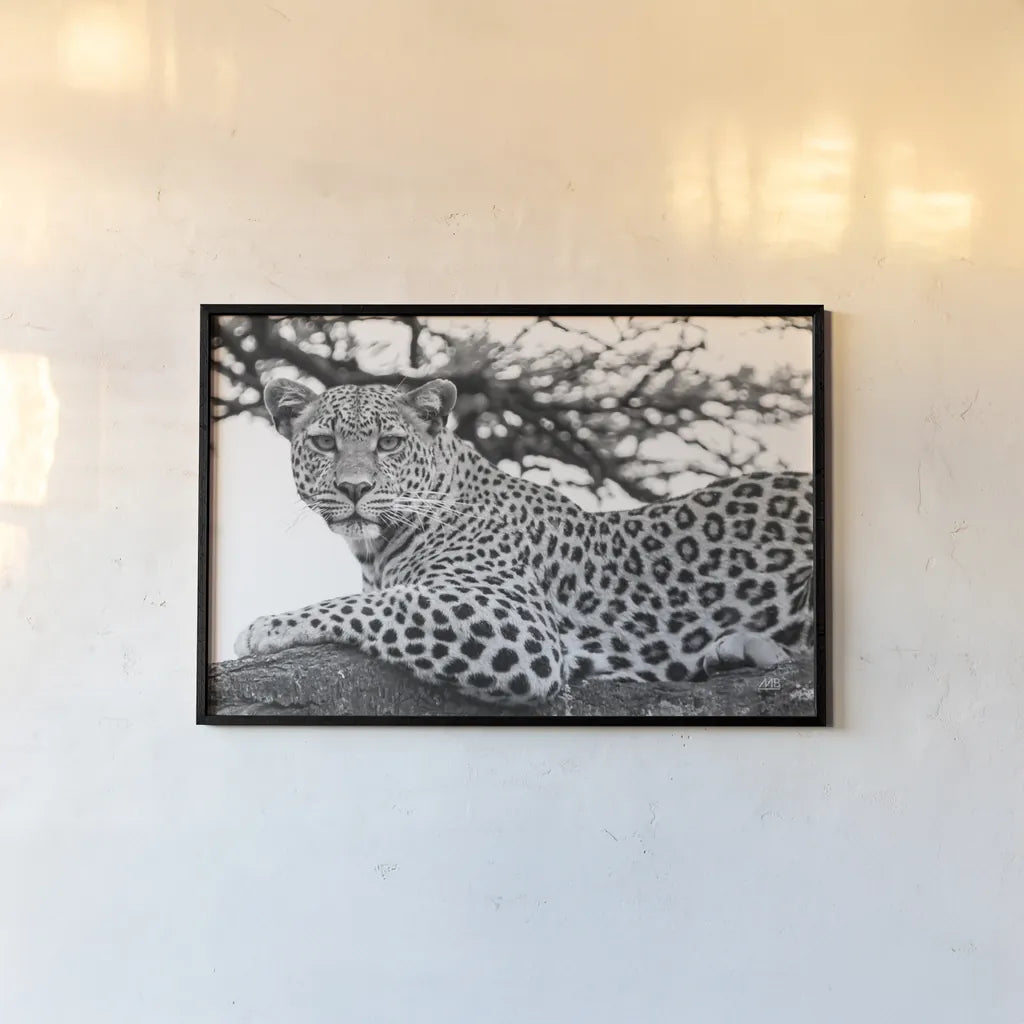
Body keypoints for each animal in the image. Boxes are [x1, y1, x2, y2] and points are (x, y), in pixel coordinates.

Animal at [234, 377, 816, 706]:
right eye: (324, 443)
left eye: (390, 443)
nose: (355, 489)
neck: (377, 550)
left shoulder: (515, 620)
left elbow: (377, 604)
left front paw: (268, 627)